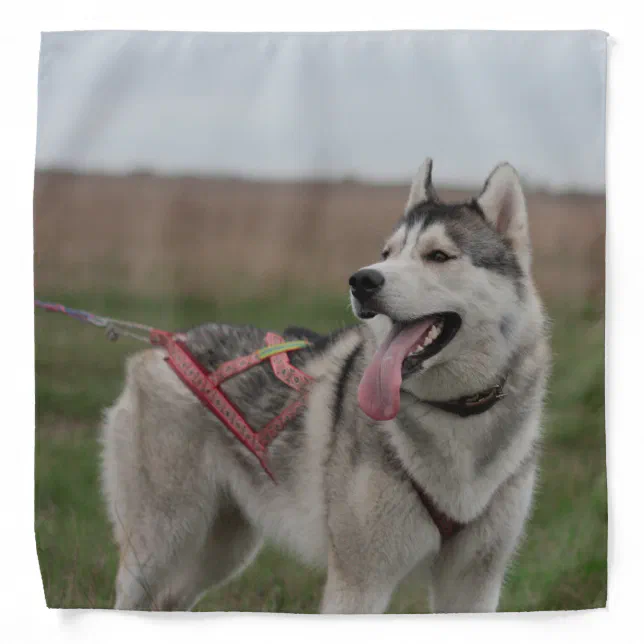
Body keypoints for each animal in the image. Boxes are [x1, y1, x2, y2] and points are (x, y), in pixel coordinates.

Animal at [100, 158, 548, 612]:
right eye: (387, 254)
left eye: (438, 256)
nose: (362, 280)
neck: (455, 413)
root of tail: (166, 344)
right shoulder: (359, 582)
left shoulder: (474, 584)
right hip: (160, 543)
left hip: (224, 547)